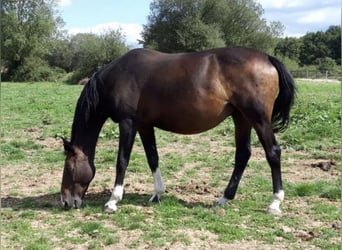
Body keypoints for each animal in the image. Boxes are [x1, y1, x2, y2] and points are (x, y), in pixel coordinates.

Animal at [60, 47, 296, 215]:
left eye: (69, 167)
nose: (66, 201)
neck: (117, 77)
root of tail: (267, 58)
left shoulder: (128, 123)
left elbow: (122, 161)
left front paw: (113, 201)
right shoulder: (144, 125)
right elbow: (152, 158)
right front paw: (157, 194)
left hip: (258, 119)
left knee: (273, 153)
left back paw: (275, 203)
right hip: (241, 118)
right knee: (242, 155)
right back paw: (223, 199)